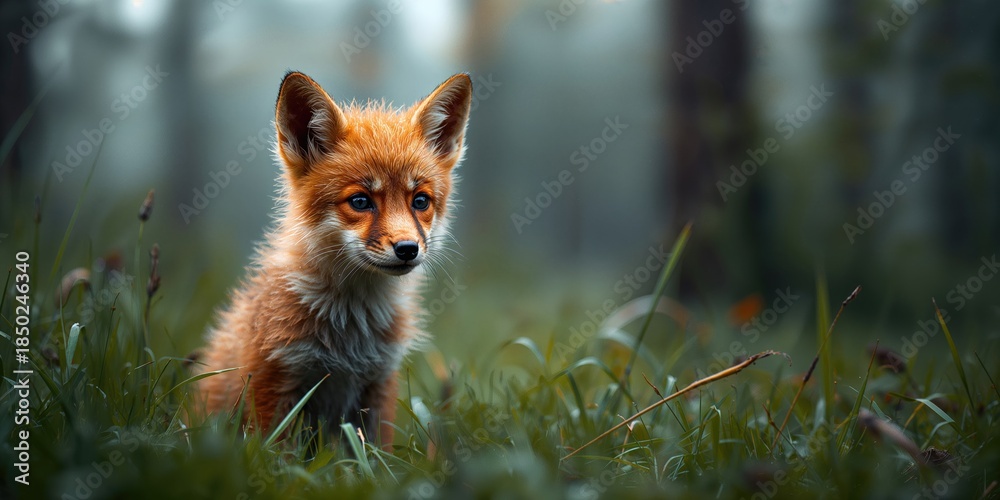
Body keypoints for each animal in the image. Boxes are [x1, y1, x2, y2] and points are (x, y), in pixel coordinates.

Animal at [194, 71, 473, 446]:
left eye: (420, 201)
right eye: (360, 201)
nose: (407, 248)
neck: (348, 333)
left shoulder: (379, 384)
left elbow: (375, 454)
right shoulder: (272, 377)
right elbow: (272, 452)